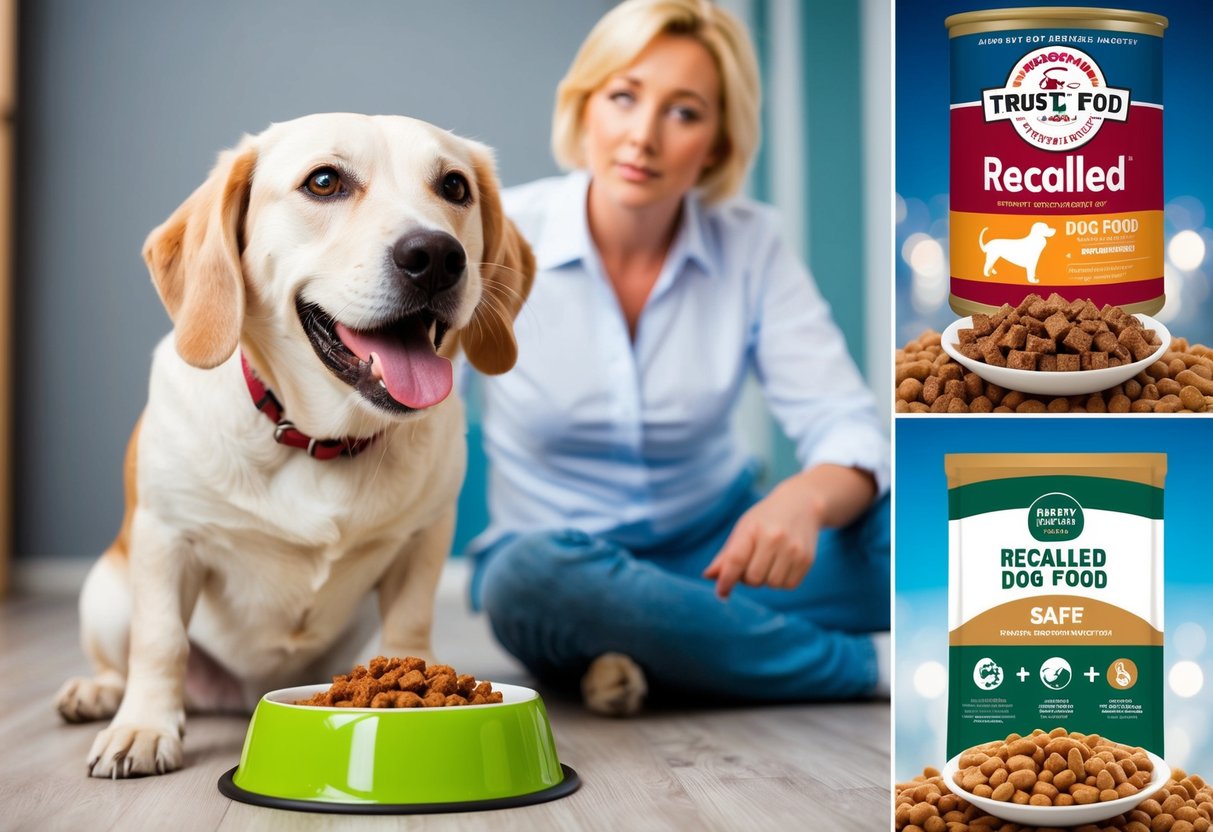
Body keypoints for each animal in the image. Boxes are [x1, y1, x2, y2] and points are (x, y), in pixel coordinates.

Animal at [52, 114, 536, 781]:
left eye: (455, 187)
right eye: (324, 182)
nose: (437, 256)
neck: (317, 441)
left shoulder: (424, 540)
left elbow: (410, 627)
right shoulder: (166, 538)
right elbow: (159, 643)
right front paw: (144, 727)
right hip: (107, 595)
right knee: (120, 660)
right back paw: (99, 692)